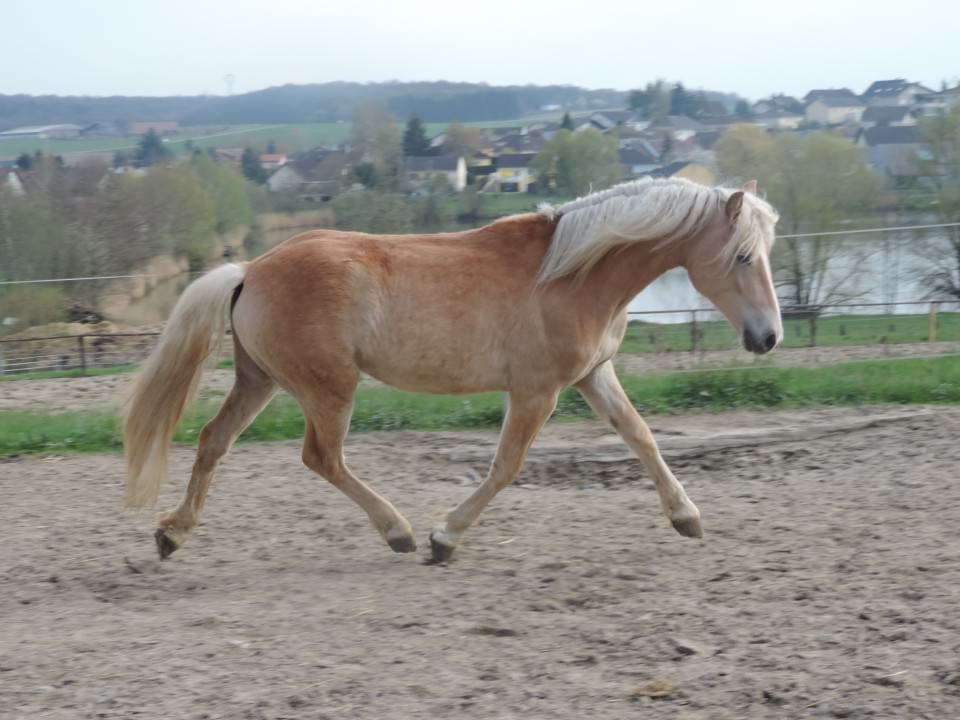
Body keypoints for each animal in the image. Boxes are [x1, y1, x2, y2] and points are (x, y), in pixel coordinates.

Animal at [122, 177, 780, 564]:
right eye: (744, 256)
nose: (768, 337)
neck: (570, 276)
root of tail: (251, 270)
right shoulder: (537, 391)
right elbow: (506, 466)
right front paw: (444, 538)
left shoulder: (594, 375)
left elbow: (641, 437)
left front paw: (687, 518)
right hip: (327, 386)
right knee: (321, 457)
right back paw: (399, 531)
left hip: (261, 379)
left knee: (214, 440)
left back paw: (172, 533)